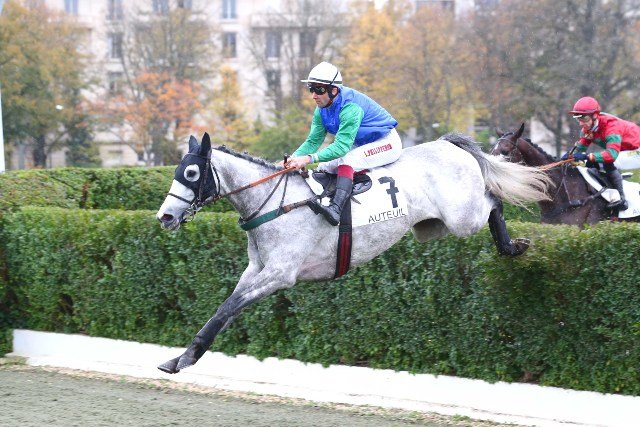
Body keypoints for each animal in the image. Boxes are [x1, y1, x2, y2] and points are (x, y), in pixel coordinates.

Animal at [155, 132, 551, 374]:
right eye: (177, 170)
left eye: (191, 173)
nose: (165, 217)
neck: (274, 203)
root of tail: (448, 144)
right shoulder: (256, 271)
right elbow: (227, 307)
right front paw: (182, 356)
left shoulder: (280, 274)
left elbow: (227, 309)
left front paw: (186, 358)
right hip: (431, 227)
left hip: (463, 217)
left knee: (494, 200)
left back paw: (512, 246)